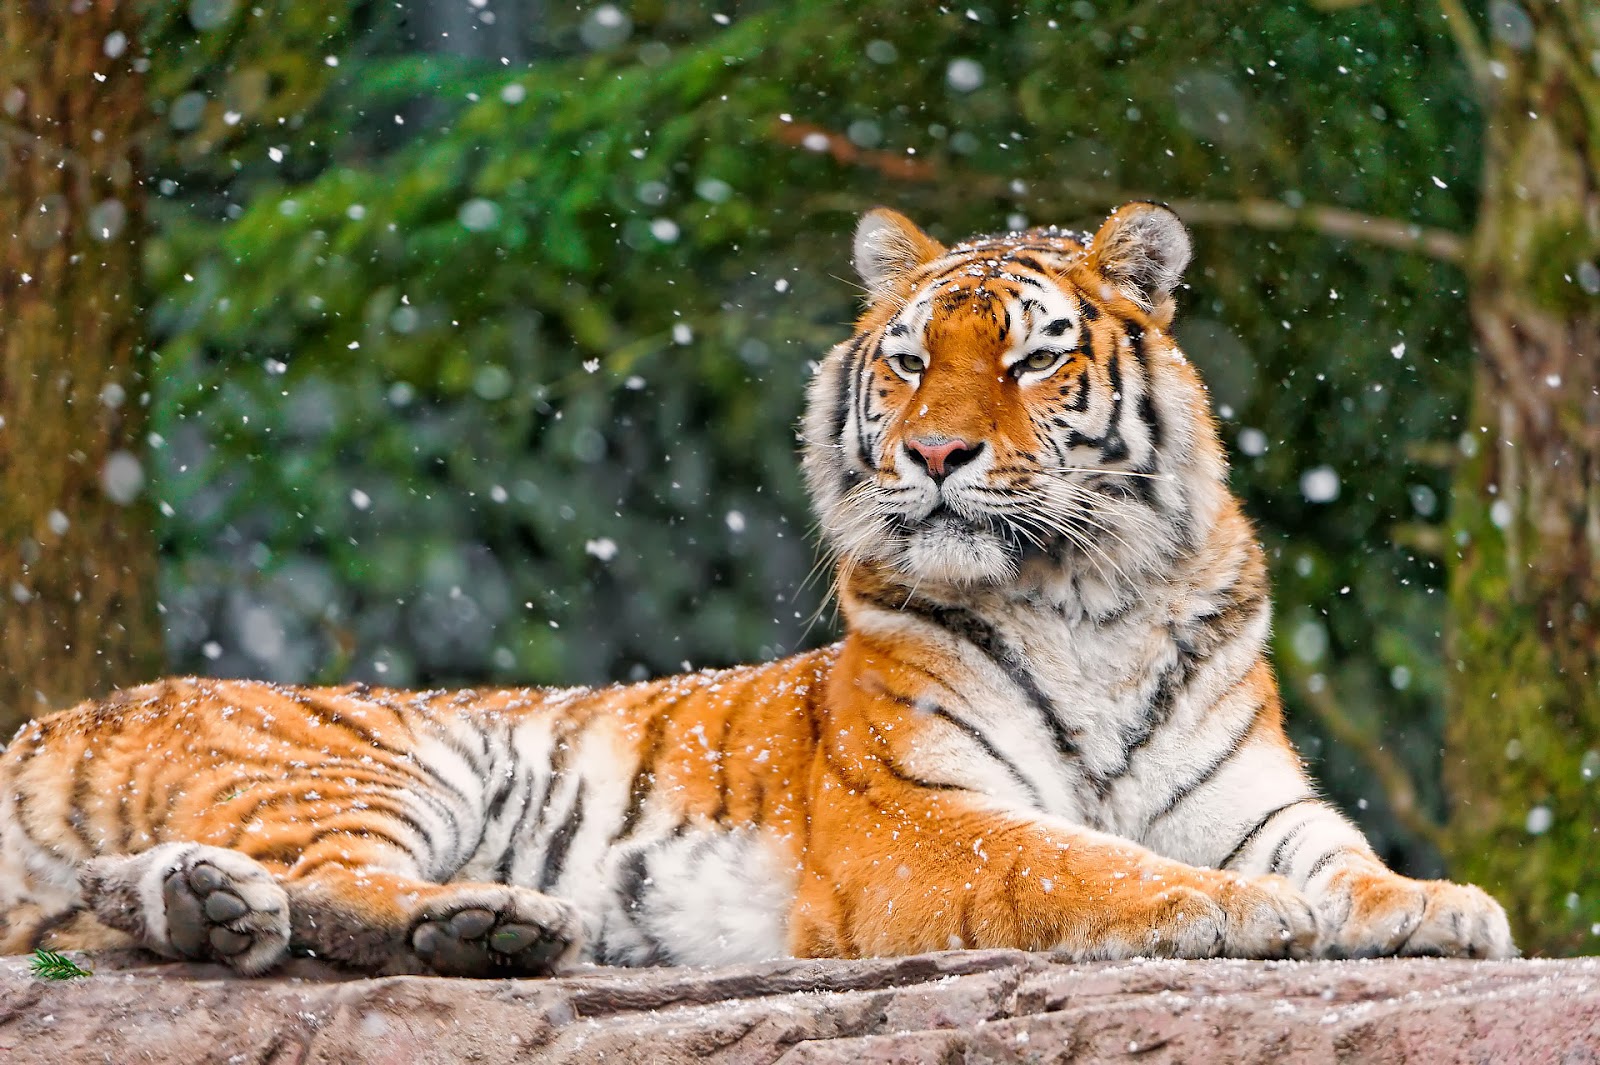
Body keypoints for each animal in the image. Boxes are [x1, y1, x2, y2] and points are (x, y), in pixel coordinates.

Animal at [0, 203, 1513, 978]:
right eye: (909, 360)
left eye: (1031, 359)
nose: (937, 453)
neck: (1091, 598)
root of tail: (57, 716)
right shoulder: (917, 815)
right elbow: (1078, 859)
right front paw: (1231, 909)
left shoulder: (1253, 796)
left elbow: (1341, 854)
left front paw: (1438, 903)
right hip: (369, 760)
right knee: (328, 888)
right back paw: (483, 923)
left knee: (170, 898)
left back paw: (226, 910)